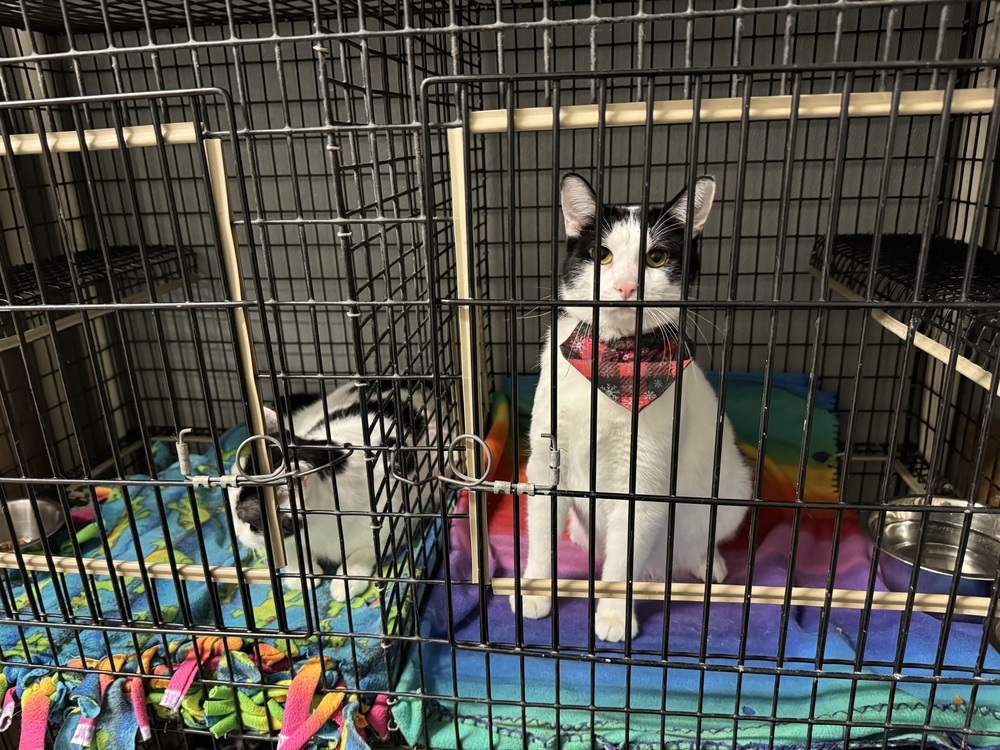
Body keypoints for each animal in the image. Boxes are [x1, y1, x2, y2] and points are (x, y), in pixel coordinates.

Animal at [228, 384, 426, 604]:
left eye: (247, 521)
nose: (237, 535)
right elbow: (291, 549)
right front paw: (300, 575)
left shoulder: (395, 523)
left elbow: (367, 551)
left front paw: (347, 581)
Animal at [512, 173, 752, 644]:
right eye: (600, 255)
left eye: (656, 258)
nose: (626, 287)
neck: (616, 363)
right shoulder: (547, 460)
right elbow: (543, 532)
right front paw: (535, 588)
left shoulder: (643, 478)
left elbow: (624, 557)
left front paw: (611, 615)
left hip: (734, 488)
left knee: (703, 536)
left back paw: (706, 562)